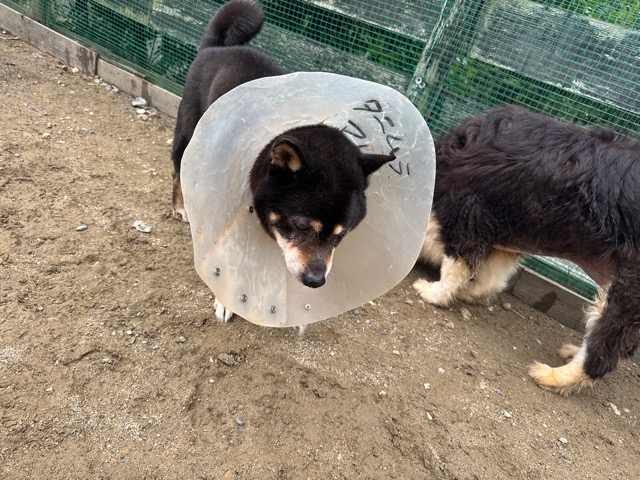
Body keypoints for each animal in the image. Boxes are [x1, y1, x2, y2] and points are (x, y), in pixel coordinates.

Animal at [171, 0, 396, 322]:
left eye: (341, 235)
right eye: (301, 226)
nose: (316, 281)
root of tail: (216, 47)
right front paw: (225, 301)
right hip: (188, 135)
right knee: (178, 171)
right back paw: (180, 207)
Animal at [413, 105, 640, 394]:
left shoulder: (466, 217)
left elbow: (453, 270)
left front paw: (433, 293)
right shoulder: (504, 242)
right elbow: (490, 281)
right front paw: (471, 293)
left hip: (626, 292)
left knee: (601, 358)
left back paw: (552, 377)